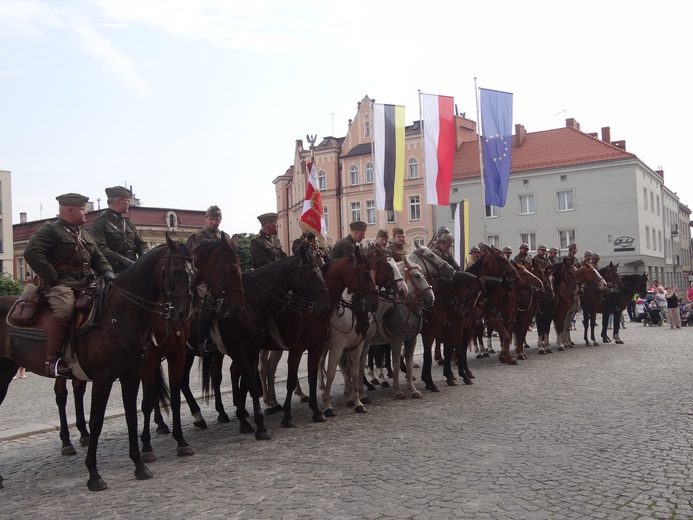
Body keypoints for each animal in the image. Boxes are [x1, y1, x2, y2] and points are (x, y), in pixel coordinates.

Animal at [0, 237, 195, 492]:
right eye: (175, 271)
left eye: (193, 273)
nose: (183, 314)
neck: (120, 312)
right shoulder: (105, 377)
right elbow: (98, 419)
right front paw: (94, 474)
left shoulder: (132, 373)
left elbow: (133, 414)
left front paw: (140, 465)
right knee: (62, 397)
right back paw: (67, 442)